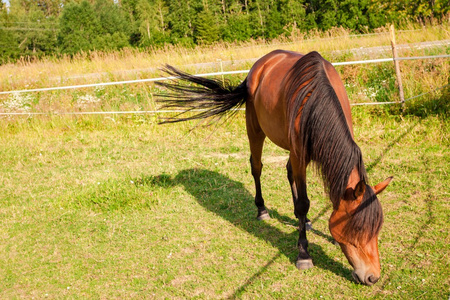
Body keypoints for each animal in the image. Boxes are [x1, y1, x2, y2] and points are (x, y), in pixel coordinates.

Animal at [156, 51, 392, 286]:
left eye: (378, 228)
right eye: (359, 229)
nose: (372, 277)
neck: (316, 101)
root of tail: (260, 64)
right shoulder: (299, 154)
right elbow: (304, 203)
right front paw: (303, 254)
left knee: (288, 173)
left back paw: (304, 221)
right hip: (255, 129)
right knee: (257, 167)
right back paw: (262, 210)